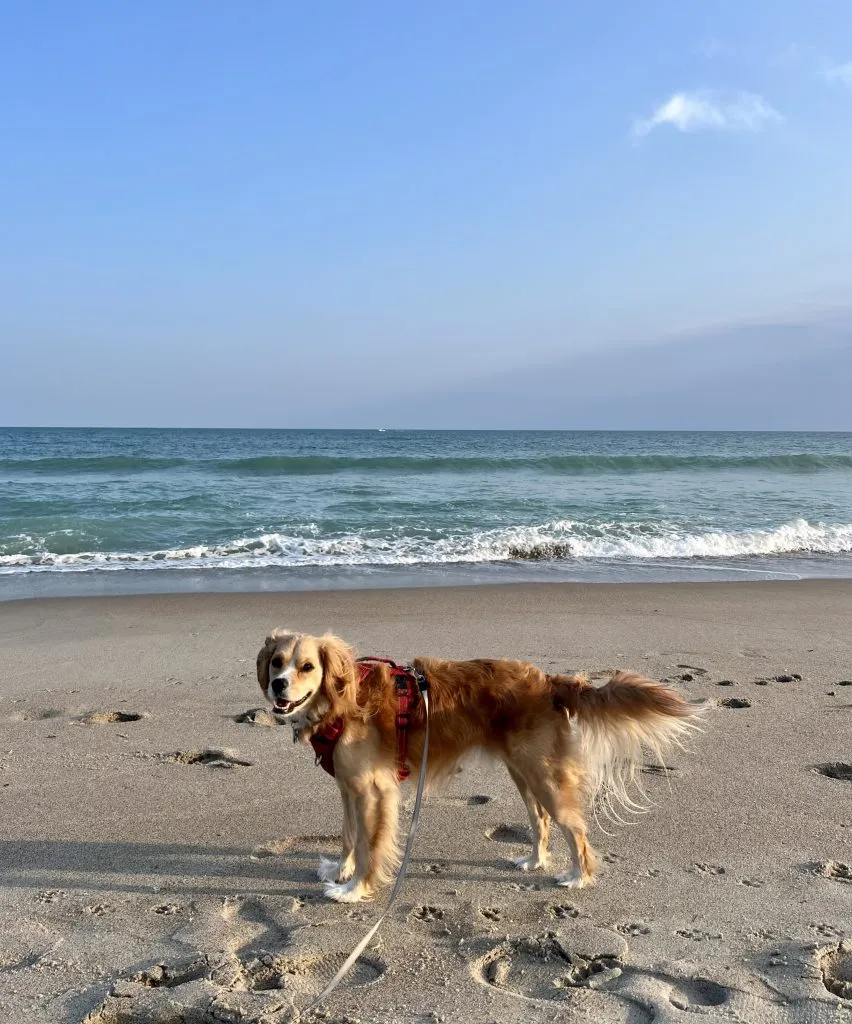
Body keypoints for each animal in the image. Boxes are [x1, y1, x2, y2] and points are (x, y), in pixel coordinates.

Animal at [254, 630, 700, 905]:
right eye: (277, 662)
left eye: (307, 667)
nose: (278, 685)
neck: (341, 698)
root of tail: (549, 682)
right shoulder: (348, 786)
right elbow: (349, 836)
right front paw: (339, 870)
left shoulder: (372, 788)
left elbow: (369, 845)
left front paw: (354, 888)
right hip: (523, 772)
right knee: (539, 820)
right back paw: (534, 860)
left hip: (544, 776)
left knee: (576, 829)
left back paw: (578, 876)